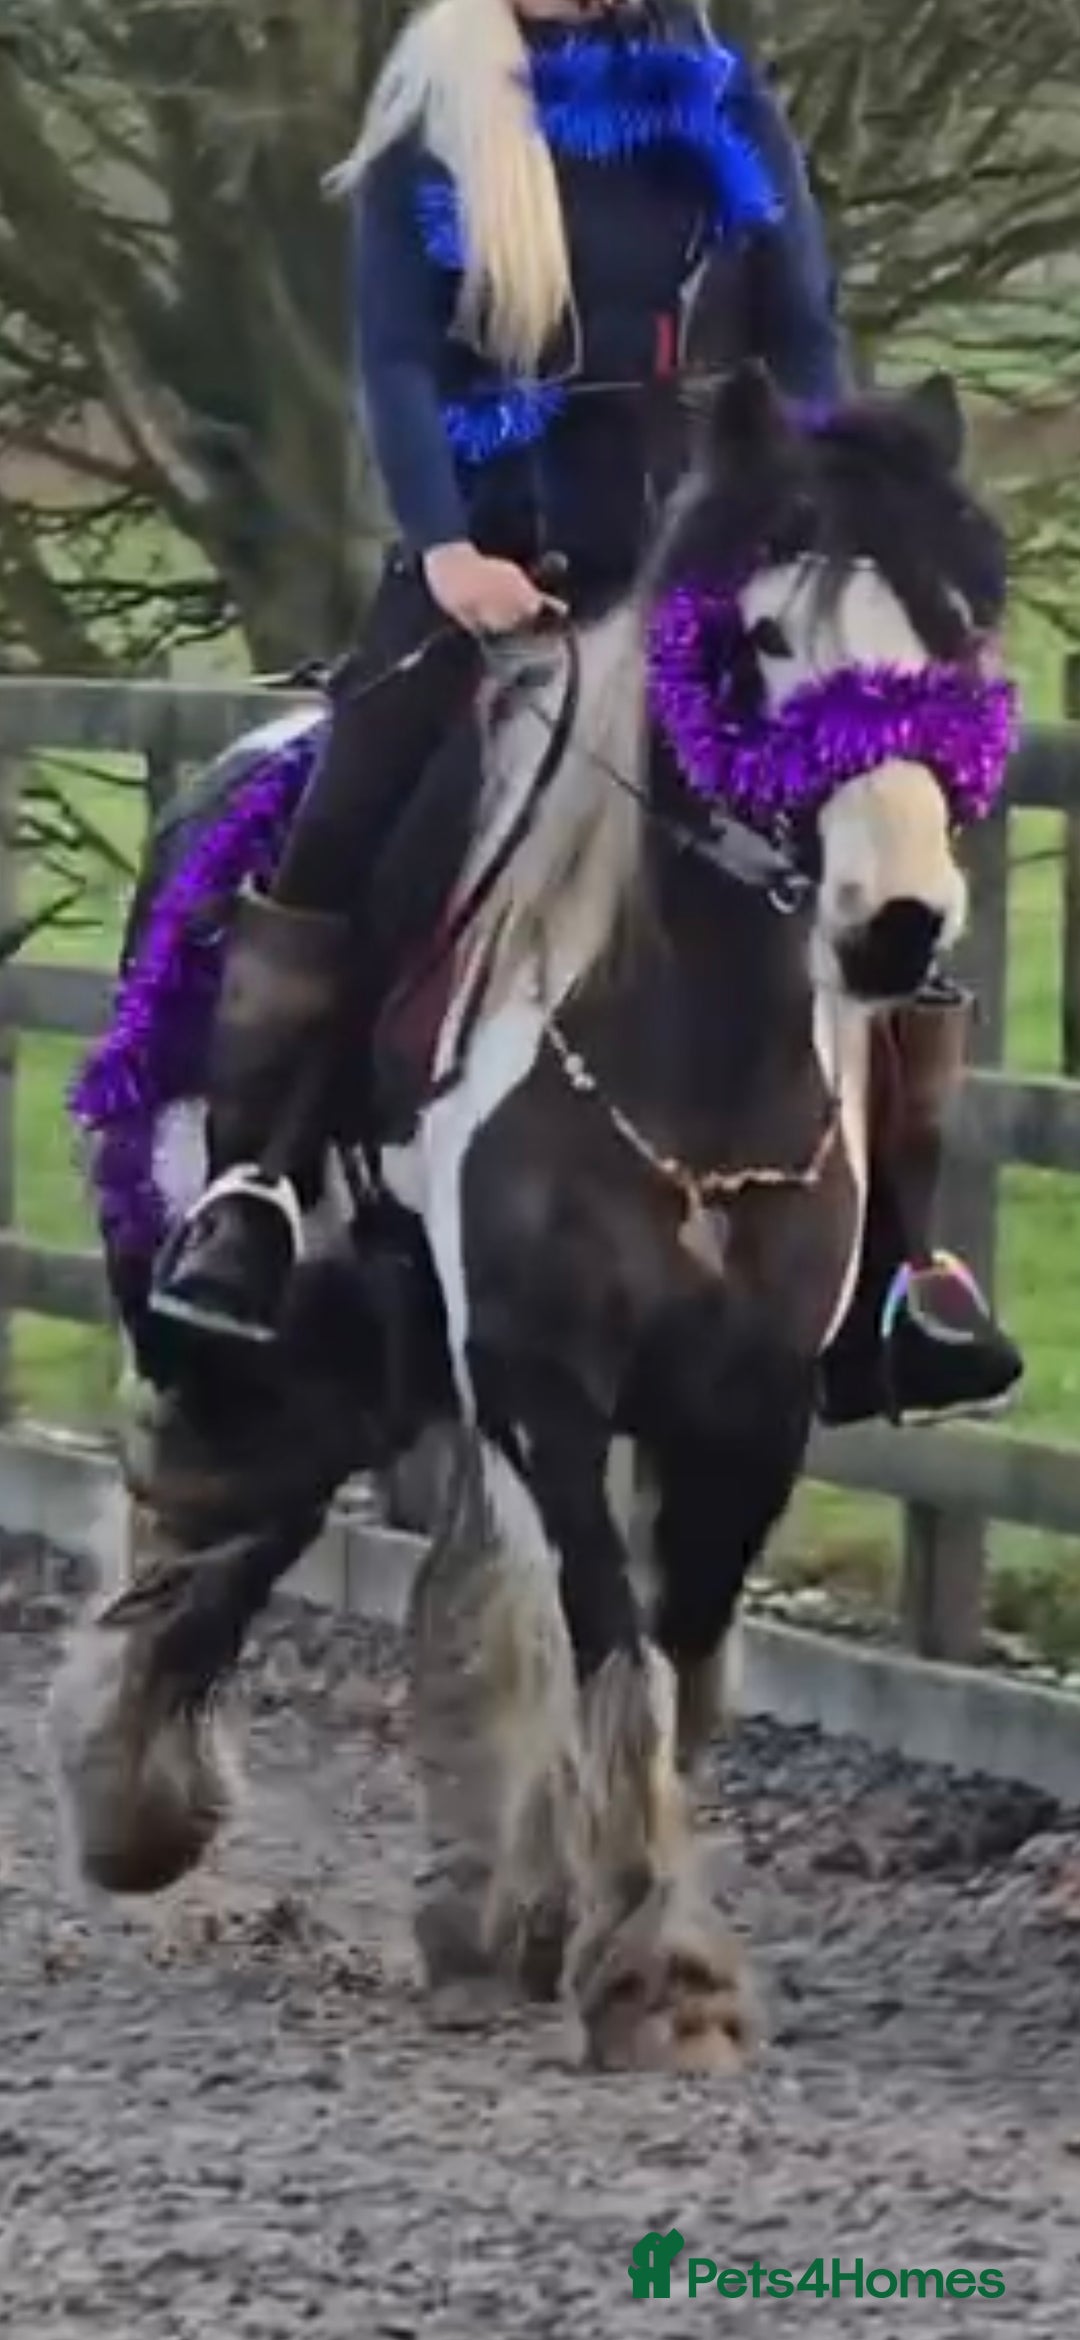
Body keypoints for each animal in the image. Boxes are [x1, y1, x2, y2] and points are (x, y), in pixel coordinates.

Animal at [48, 362, 1015, 2072]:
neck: (689, 1074)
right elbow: (606, 1629)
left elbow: (671, 1659)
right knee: (204, 1510)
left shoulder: (745, 1412)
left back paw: (485, 1906)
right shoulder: (544, 1380)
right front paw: (656, 1978)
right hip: (264, 1321)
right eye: (761, 640)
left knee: (430, 1579)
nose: (898, 926)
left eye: (951, 631)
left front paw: (619, 1930)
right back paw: (136, 1801)